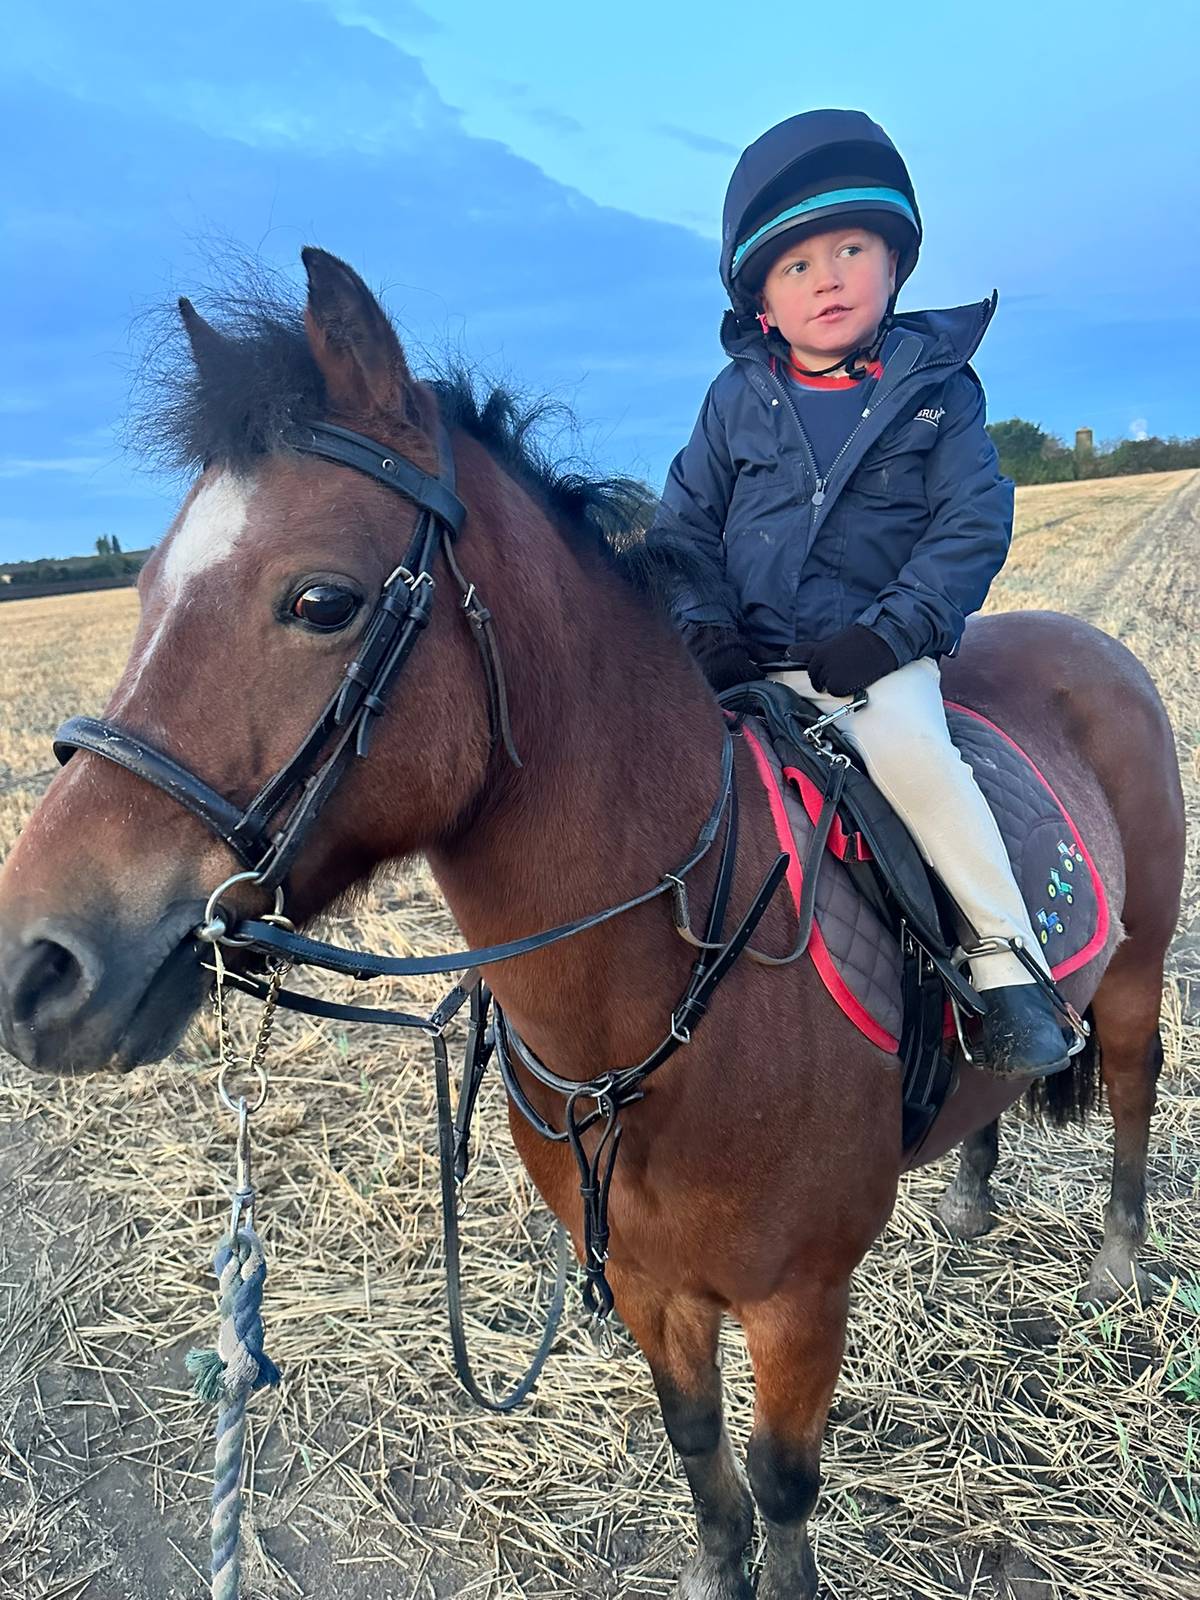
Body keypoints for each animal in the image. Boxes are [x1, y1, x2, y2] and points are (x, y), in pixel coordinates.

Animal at [0, 249, 1185, 1600]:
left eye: (320, 600)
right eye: (143, 589)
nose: (37, 965)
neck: (654, 999)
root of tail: (1089, 640)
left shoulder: (798, 1300)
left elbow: (783, 1482)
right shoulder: (650, 1286)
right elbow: (700, 1451)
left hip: (1138, 969)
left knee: (1133, 1084)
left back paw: (1120, 1254)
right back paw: (973, 1196)